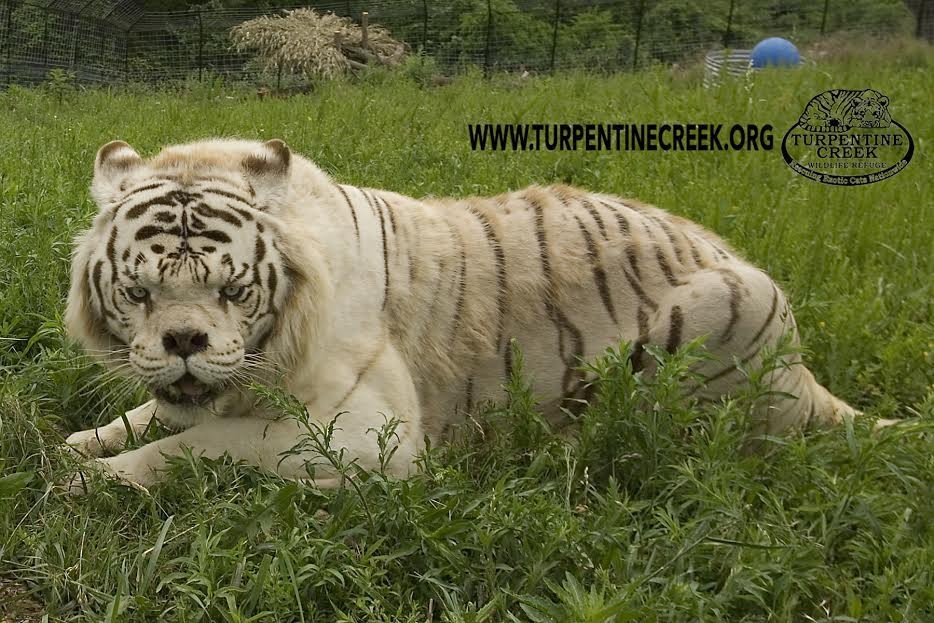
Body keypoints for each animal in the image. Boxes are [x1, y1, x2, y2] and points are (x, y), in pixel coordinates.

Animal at [64, 138, 859, 491]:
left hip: (729, 303)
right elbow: (152, 413)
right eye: (139, 293)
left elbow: (197, 443)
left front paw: (94, 478)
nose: (184, 341)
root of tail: (806, 376)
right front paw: (81, 443)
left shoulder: (370, 435)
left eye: (232, 291)